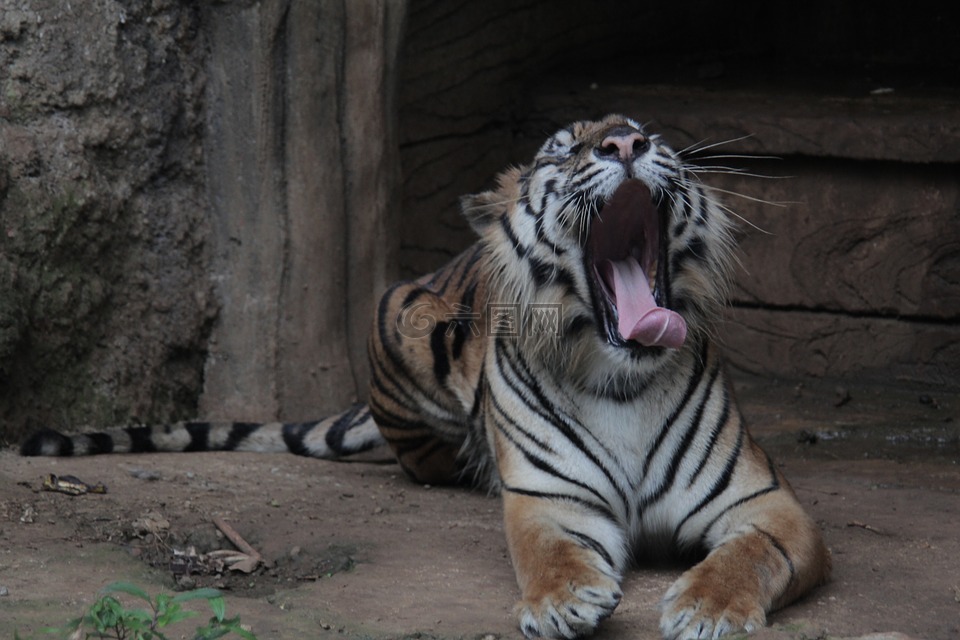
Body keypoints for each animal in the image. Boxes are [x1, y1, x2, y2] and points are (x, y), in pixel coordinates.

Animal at [21, 114, 831, 639]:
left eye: (650, 134)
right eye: (563, 151)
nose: (627, 143)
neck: (620, 375)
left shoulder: (765, 503)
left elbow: (750, 554)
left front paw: (707, 608)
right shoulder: (550, 502)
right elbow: (550, 556)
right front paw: (564, 603)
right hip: (400, 315)